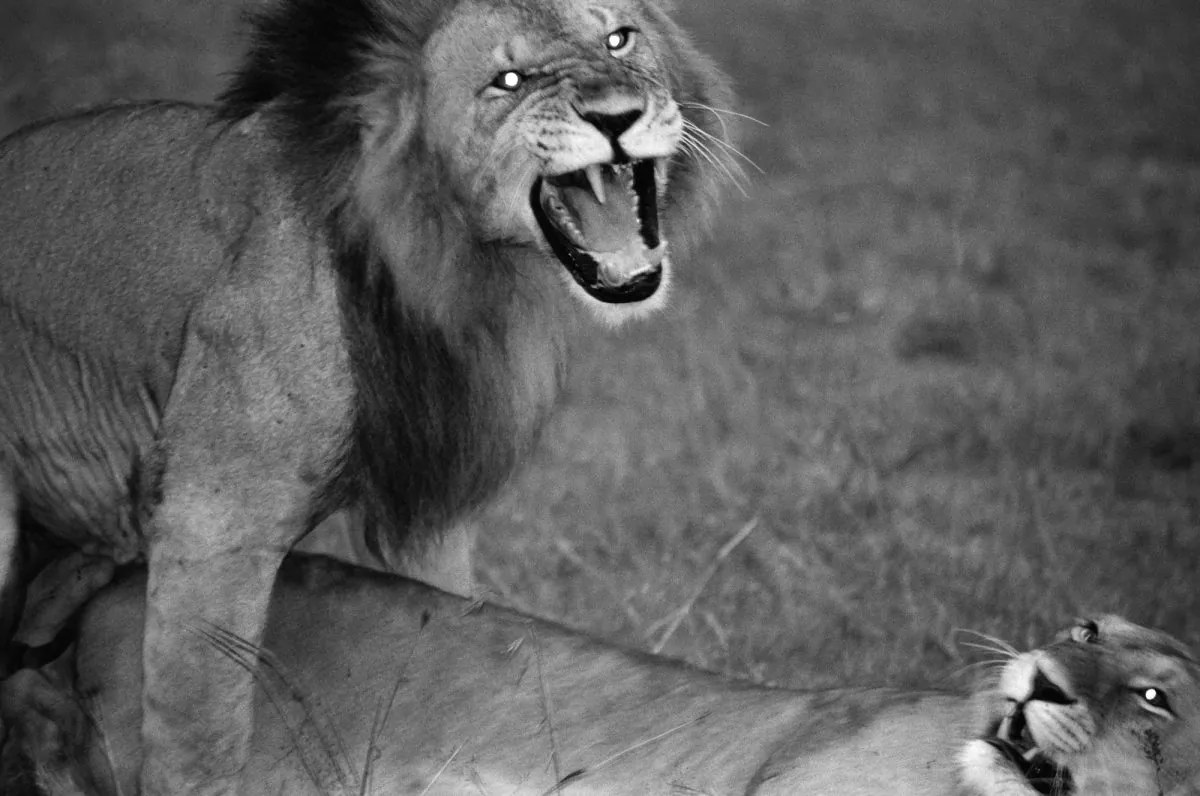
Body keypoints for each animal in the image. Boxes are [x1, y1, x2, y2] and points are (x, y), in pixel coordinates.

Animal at [0, 0, 732, 791]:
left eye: (620, 39)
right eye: (508, 81)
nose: (618, 115)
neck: (457, 277)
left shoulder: (431, 508)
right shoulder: (211, 519)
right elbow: (199, 740)